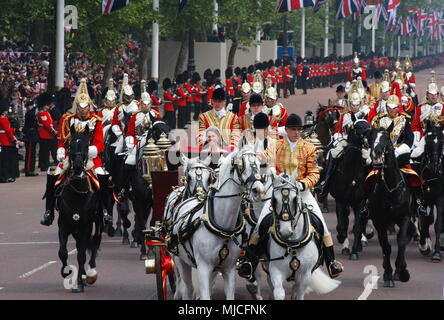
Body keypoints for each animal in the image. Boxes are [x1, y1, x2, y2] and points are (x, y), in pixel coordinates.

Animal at [55, 124, 102, 292]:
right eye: (70, 145)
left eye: (87, 145)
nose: (76, 168)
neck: (77, 193)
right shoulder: (64, 225)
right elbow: (62, 252)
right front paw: (66, 271)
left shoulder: (86, 226)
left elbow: (81, 254)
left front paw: (81, 283)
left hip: (98, 222)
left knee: (94, 243)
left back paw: (91, 273)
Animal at [170, 145, 264, 300]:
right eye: (241, 164)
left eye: (259, 162)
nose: (259, 190)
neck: (223, 227)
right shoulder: (203, 268)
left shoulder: (229, 269)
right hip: (181, 261)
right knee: (187, 288)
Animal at [260, 170, 340, 300]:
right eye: (274, 199)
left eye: (294, 199)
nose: (285, 231)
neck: (292, 245)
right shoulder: (275, 270)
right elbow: (279, 292)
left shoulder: (305, 275)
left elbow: (299, 293)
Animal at [328, 120, 370, 260]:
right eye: (358, 127)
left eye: (369, 125)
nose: (368, 140)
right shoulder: (340, 200)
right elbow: (342, 225)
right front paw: (343, 242)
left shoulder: (360, 202)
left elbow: (357, 227)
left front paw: (354, 252)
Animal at [366, 128, 414, 288]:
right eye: (370, 137)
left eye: (386, 138)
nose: (376, 153)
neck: (390, 188)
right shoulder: (379, 221)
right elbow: (386, 246)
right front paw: (388, 274)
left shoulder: (405, 217)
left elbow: (401, 241)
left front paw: (401, 272)